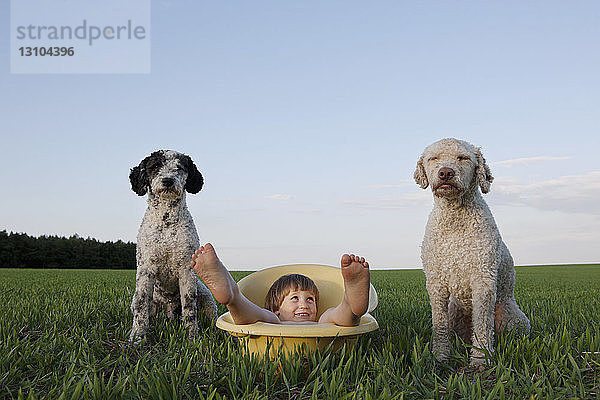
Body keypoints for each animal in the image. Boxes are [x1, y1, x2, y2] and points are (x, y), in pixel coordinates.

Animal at [127, 150, 217, 344]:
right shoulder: (145, 269)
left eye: (180, 167)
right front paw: (137, 336)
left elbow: (190, 307)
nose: (168, 180)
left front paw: (192, 337)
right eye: (155, 166)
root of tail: (168, 311)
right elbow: (141, 305)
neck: (167, 221)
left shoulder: (187, 270)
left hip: (205, 294)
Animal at [414, 138, 528, 366]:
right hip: (454, 312)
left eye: (463, 158)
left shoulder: (483, 280)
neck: (454, 221)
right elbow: (439, 325)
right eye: (434, 158)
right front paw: (439, 357)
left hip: (511, 317)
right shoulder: (436, 283)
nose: (446, 173)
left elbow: (483, 325)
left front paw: (480, 360)